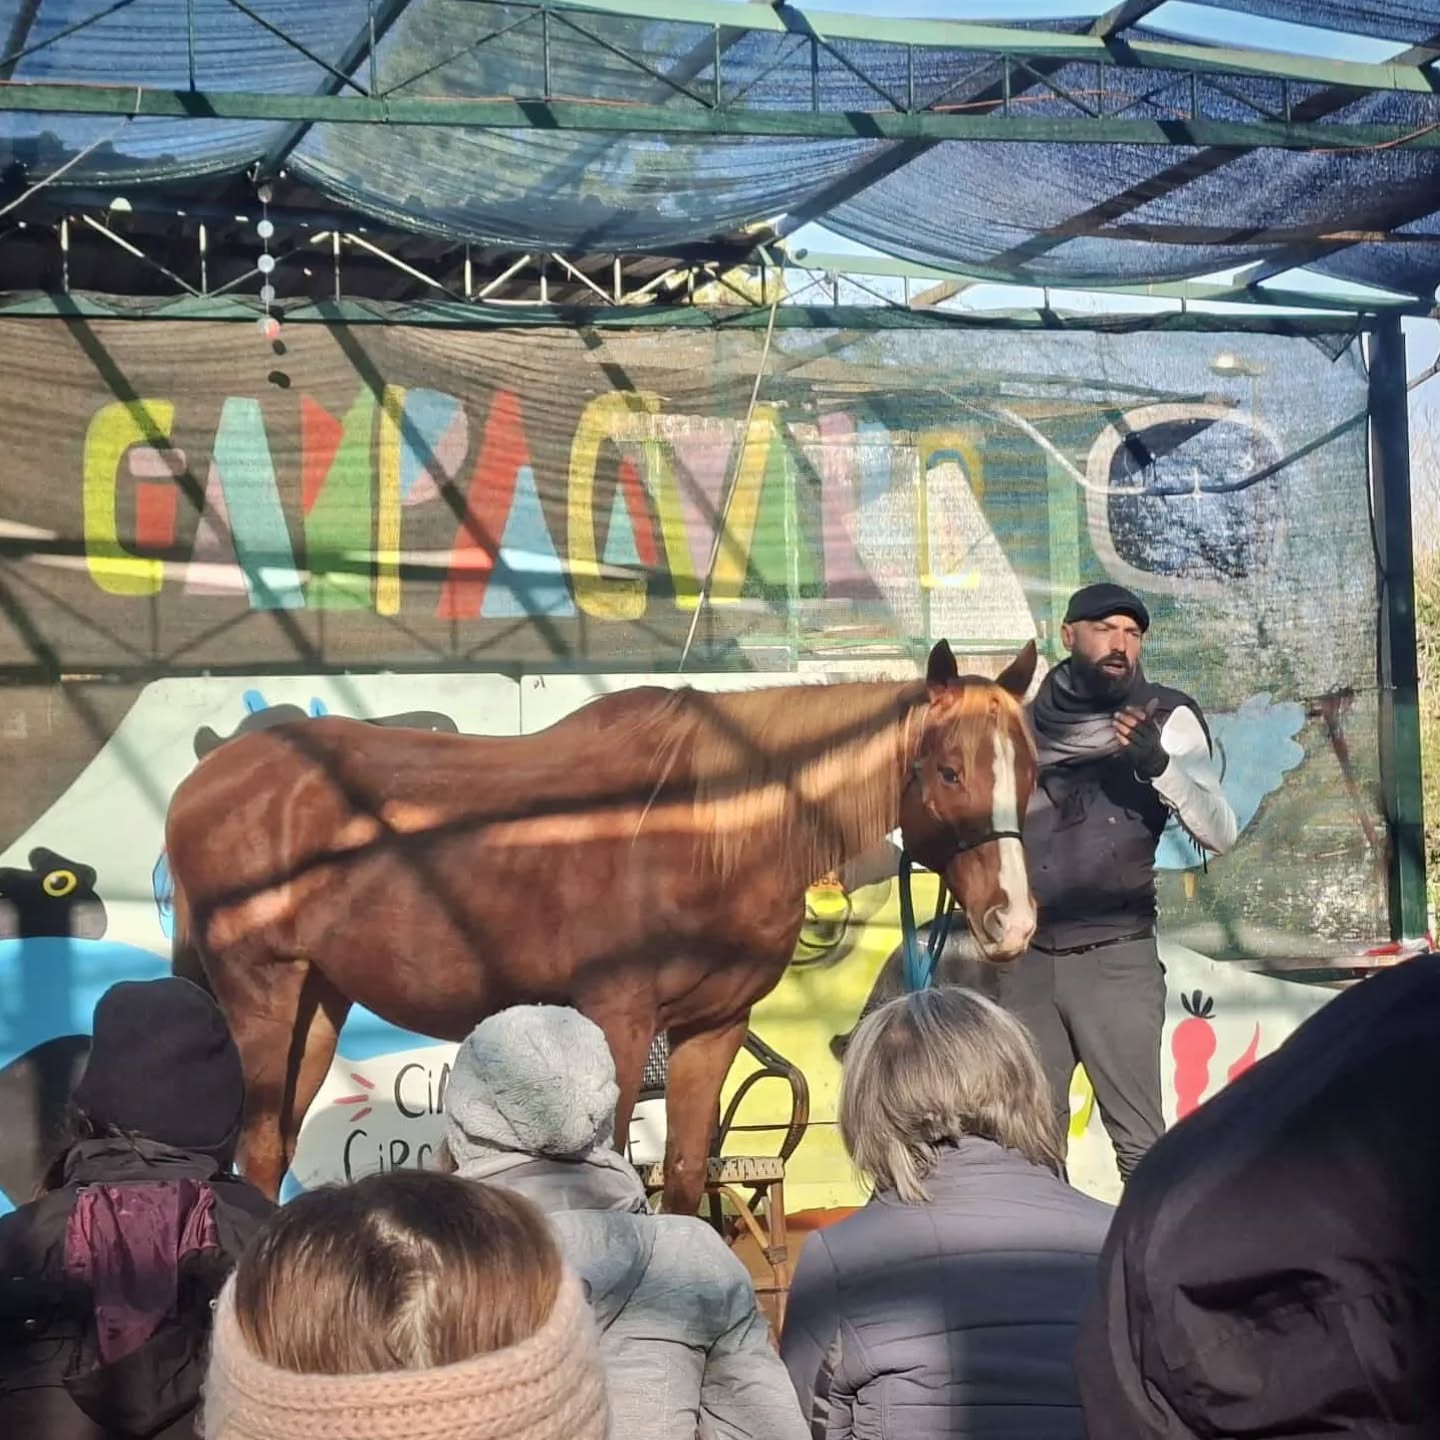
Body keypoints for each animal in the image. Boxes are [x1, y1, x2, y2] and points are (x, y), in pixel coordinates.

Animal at [164, 638, 1039, 1214]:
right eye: (949, 770)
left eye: (1028, 771)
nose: (1013, 921)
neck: (704, 831)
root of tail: (204, 779)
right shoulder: (618, 1019)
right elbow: (613, 1163)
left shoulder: (714, 1027)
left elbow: (682, 1173)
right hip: (262, 993)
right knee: (258, 1147)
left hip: (318, 1001)